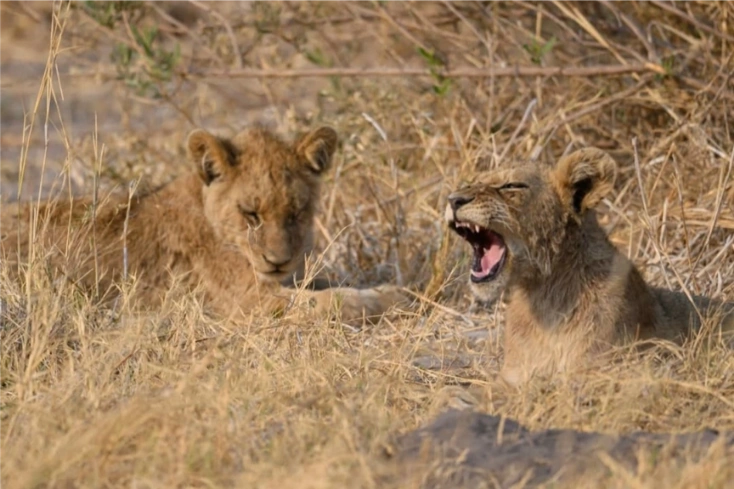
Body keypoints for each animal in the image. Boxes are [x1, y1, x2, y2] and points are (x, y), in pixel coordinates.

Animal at [0, 125, 408, 323]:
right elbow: (332, 302)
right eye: (251, 214)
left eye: (295, 213)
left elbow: (330, 286)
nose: (278, 261)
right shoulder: (246, 300)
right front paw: (394, 295)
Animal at [445, 147, 734, 385]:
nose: (452, 199)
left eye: (511, 185)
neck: (543, 296)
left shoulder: (603, 370)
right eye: (471, 182)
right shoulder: (513, 376)